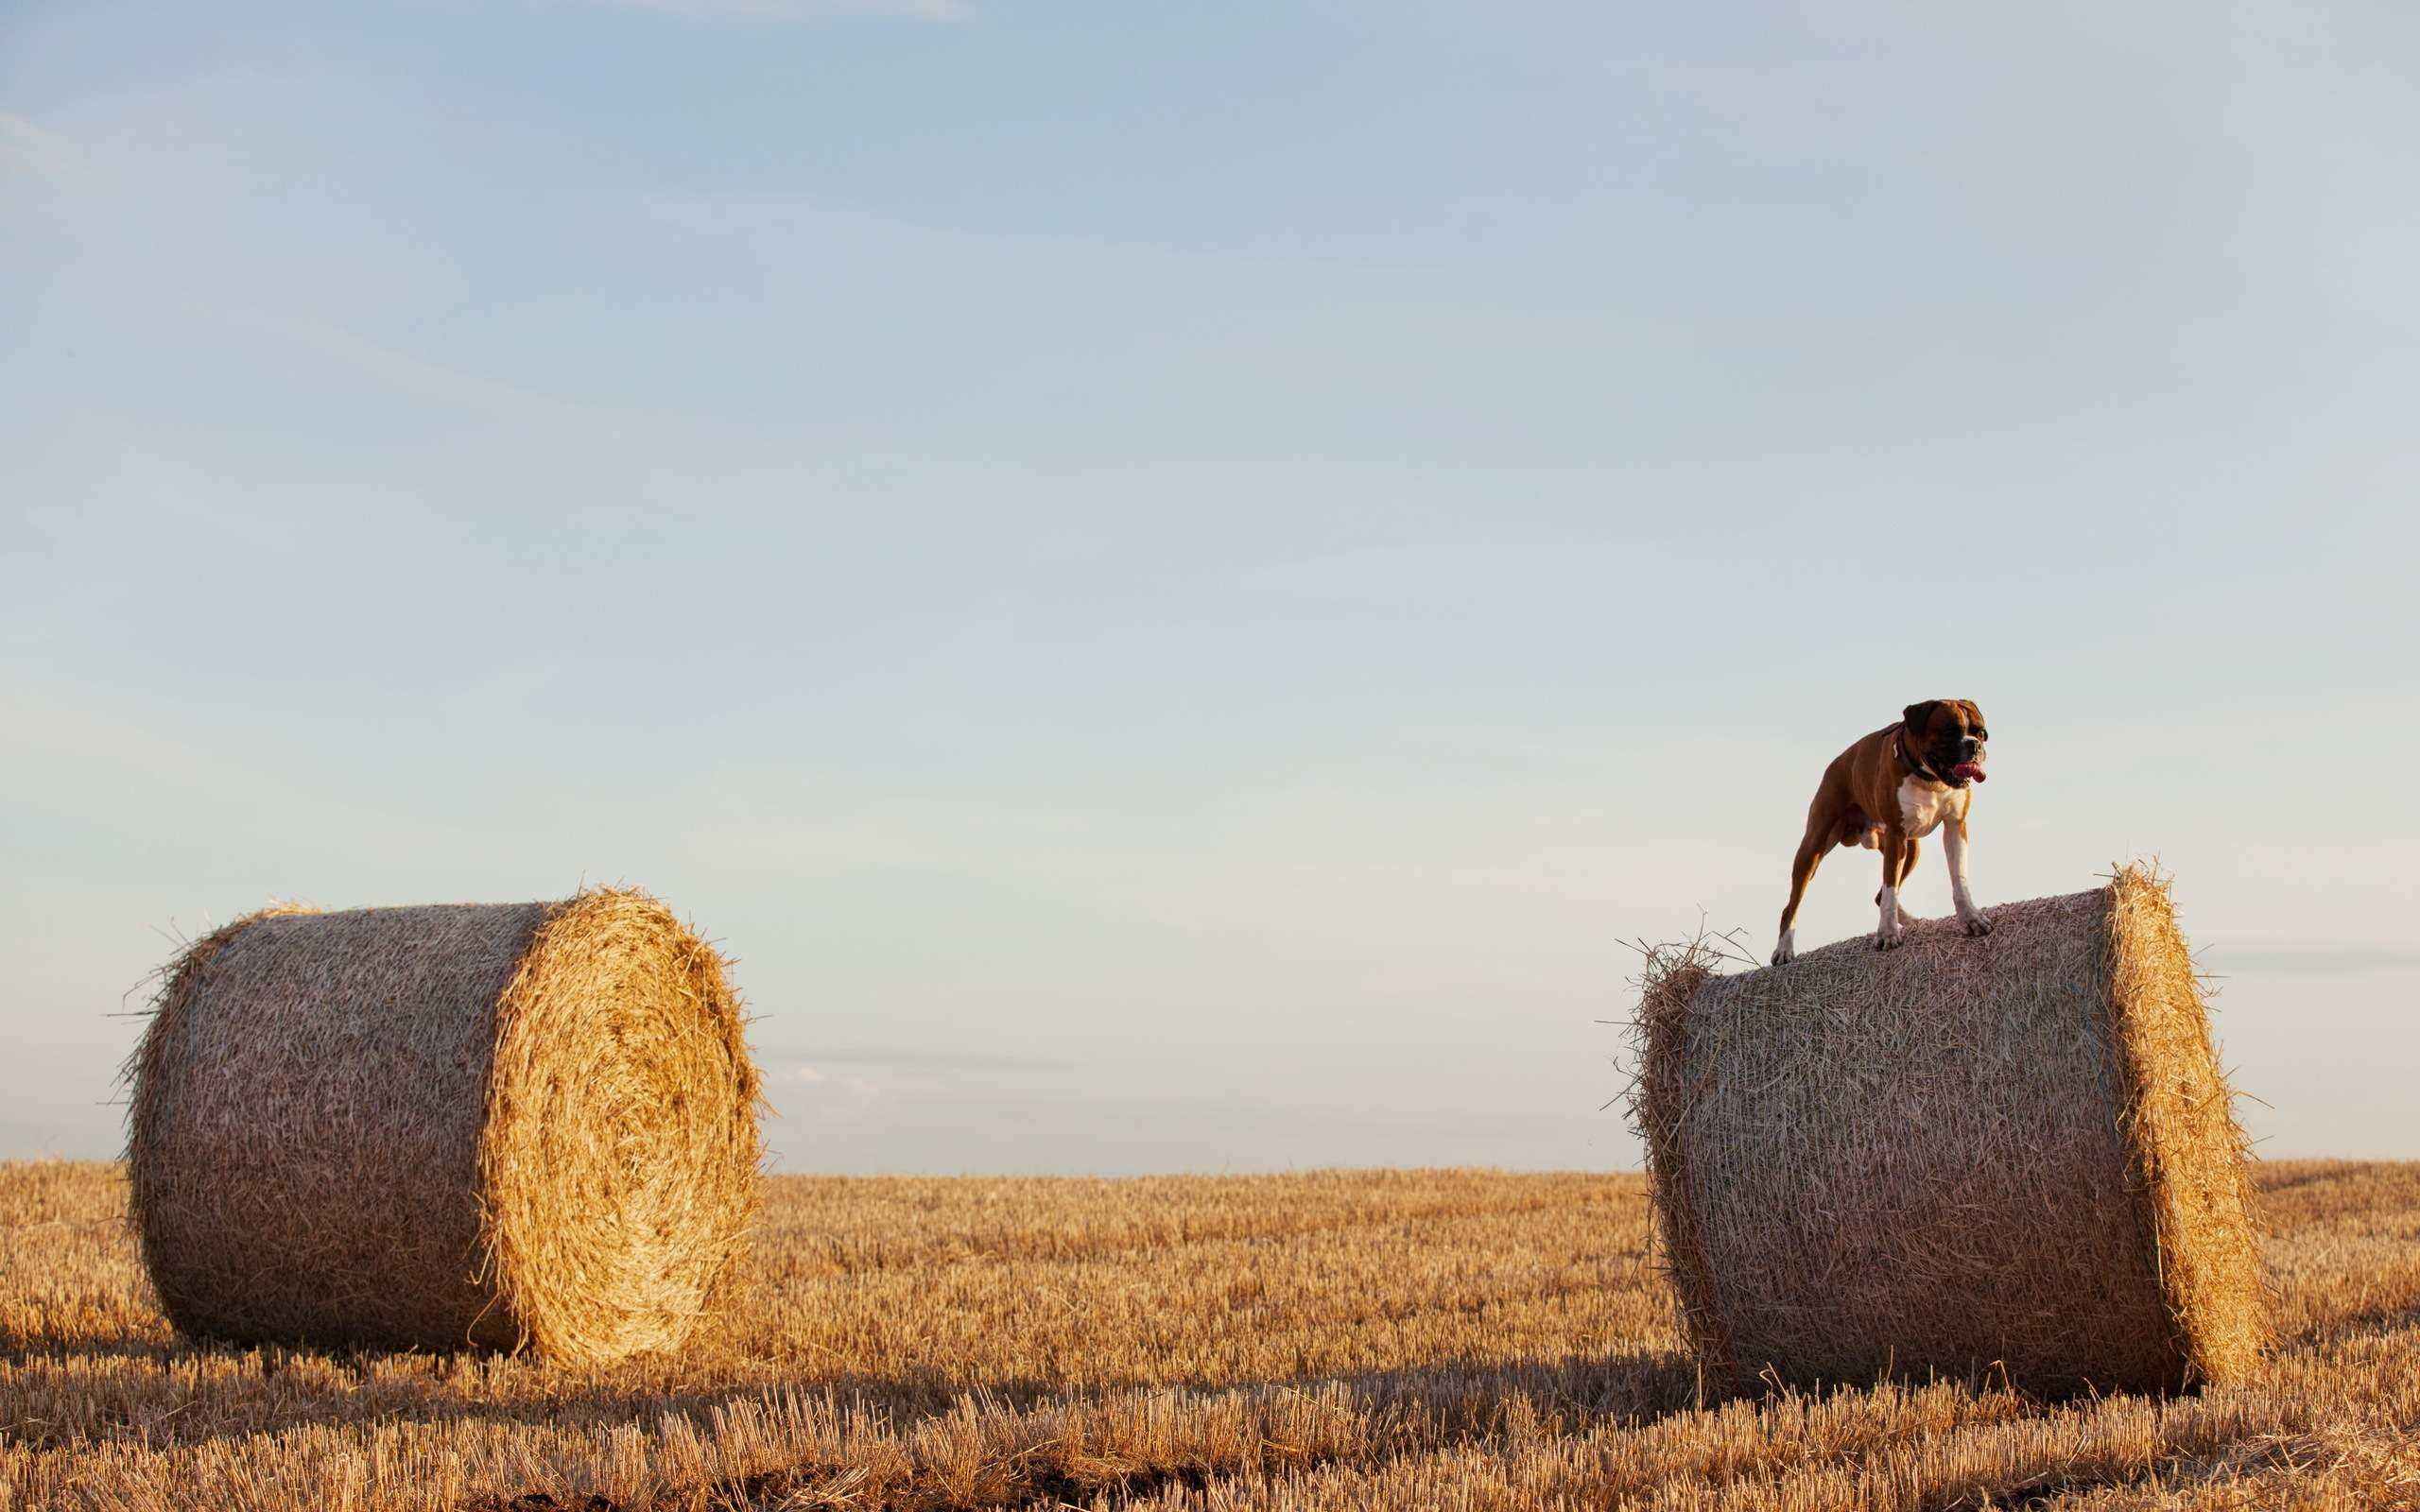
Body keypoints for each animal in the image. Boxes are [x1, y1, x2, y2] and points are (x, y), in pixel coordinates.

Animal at [1771, 696, 1994, 962]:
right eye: (1950, 731)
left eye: (1981, 733)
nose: (1974, 745)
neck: (1929, 779)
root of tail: (1838, 761)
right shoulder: (1896, 834)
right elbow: (1889, 888)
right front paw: (1887, 934)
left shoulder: (1954, 827)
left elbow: (1958, 879)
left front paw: (1971, 918)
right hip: (1814, 847)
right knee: (1791, 905)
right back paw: (1784, 949)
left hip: (1909, 849)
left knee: (1882, 894)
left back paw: (1914, 922)